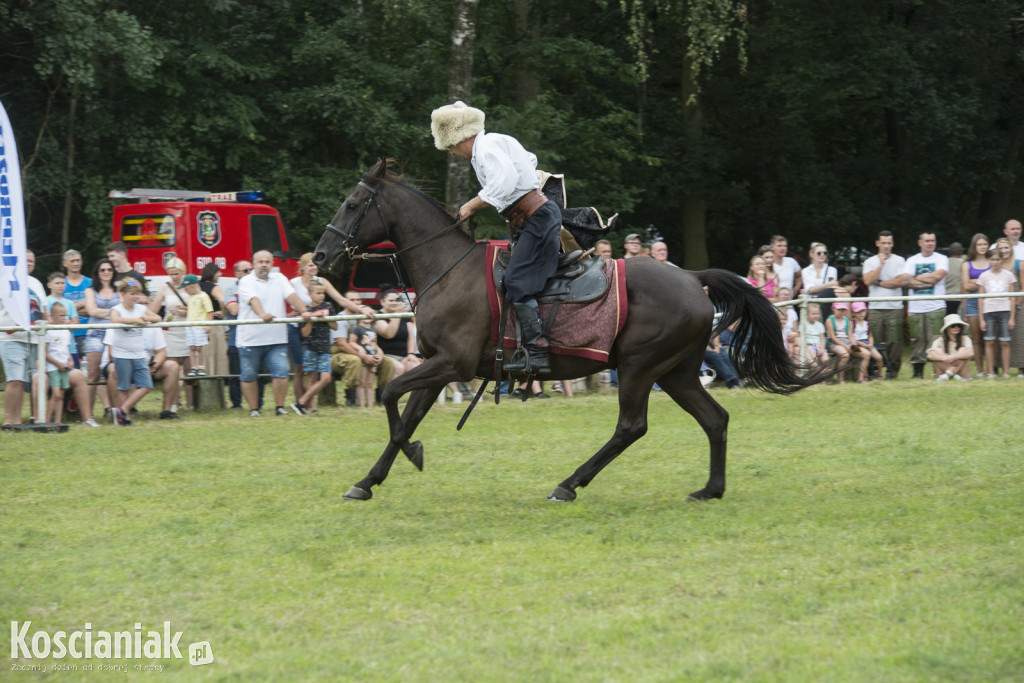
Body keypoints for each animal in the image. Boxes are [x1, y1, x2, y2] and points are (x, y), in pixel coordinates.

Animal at [311, 158, 831, 501]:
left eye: (353, 204)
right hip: (676, 372)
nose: (319, 256)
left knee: (631, 426)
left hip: (641, 368)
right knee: (714, 419)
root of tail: (692, 277)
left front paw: (409, 455)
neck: (447, 268)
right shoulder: (439, 366)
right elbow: (406, 413)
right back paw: (710, 489)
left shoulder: (451, 363)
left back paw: (569, 484)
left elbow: (389, 397)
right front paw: (369, 480)